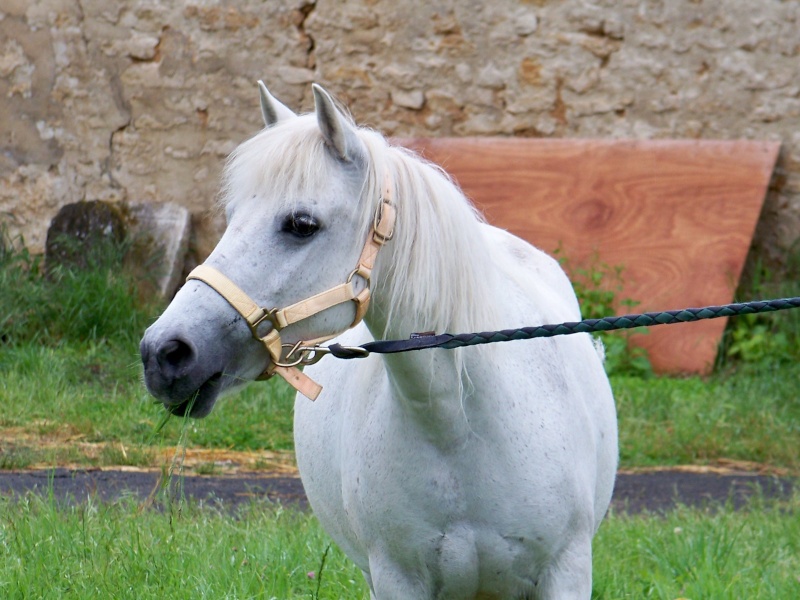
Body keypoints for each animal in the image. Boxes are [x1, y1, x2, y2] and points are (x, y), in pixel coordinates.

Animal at [141, 82, 616, 596]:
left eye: (302, 224)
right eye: (231, 216)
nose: (163, 353)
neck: (458, 425)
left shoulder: (566, 573)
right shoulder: (395, 578)